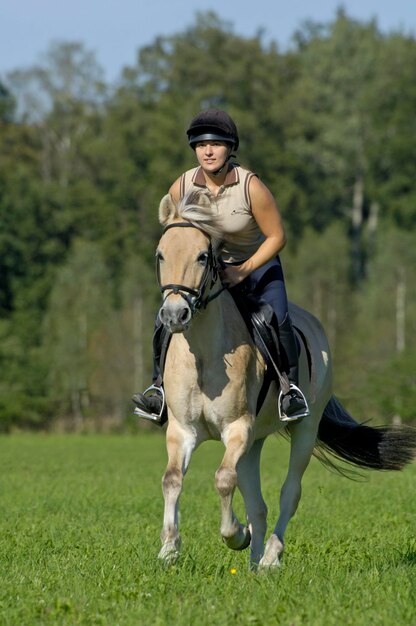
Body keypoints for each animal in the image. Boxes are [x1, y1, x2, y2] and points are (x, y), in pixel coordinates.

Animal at [153, 191, 416, 572]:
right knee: (258, 503)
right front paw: (170, 549)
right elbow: (172, 479)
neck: (203, 354)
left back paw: (269, 557)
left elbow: (223, 479)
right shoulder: (183, 430)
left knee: (289, 493)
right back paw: (252, 560)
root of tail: (315, 324)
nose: (175, 315)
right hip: (255, 442)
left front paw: (234, 535)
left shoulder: (237, 429)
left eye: (203, 256)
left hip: (304, 428)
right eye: (160, 254)